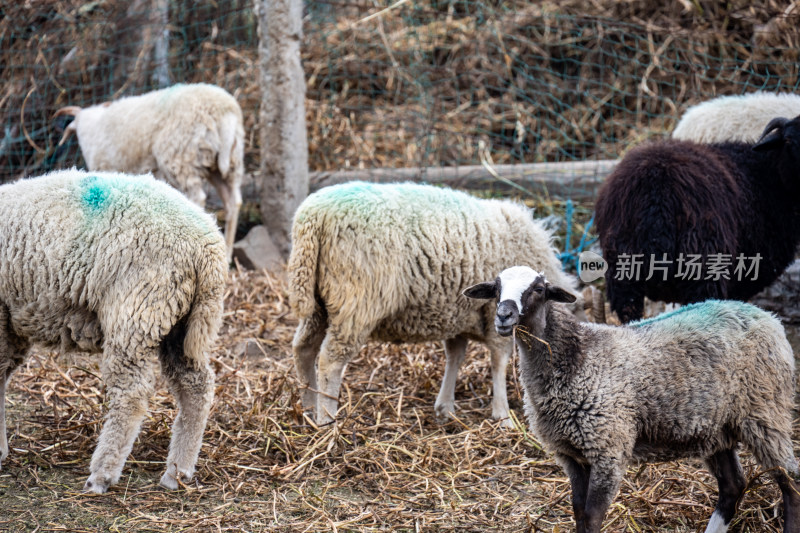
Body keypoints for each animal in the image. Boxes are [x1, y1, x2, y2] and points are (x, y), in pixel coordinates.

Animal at [54, 82, 244, 262]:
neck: (91, 128)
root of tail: (225, 113)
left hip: (182, 156)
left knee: (199, 197)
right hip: (227, 163)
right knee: (233, 202)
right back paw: (228, 253)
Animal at [462, 266, 800, 532]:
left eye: (539, 289)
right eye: (497, 288)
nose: (504, 316)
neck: (576, 357)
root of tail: (765, 315)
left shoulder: (608, 448)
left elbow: (592, 516)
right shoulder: (571, 455)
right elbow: (578, 513)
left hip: (765, 414)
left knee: (790, 481)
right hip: (717, 428)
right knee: (732, 486)